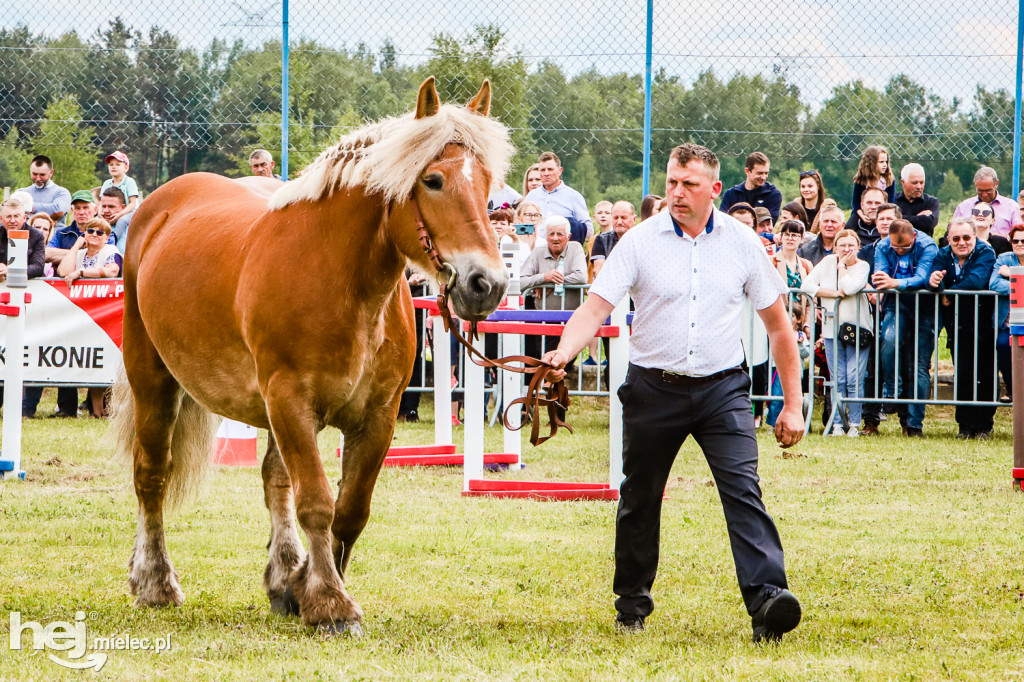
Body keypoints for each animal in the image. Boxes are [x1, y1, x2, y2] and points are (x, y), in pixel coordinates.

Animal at [110, 76, 509, 630]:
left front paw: (307, 584)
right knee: (151, 475)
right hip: (154, 379)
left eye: (488, 182)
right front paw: (329, 603)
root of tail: (156, 208)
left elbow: (350, 510)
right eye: (432, 180)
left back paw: (282, 576)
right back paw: (155, 581)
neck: (344, 279)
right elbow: (318, 503)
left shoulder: (376, 416)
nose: (485, 284)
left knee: (274, 481)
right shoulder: (290, 401)